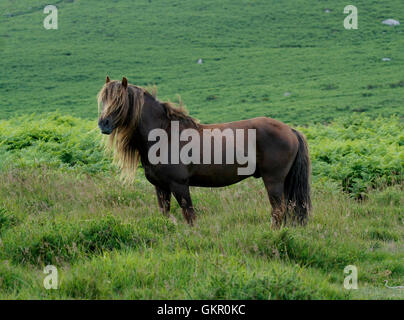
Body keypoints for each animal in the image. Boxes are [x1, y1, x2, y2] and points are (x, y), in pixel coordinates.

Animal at [98, 76, 312, 229]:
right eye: (103, 101)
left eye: (119, 102)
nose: (103, 124)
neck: (164, 135)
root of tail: (290, 130)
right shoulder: (161, 188)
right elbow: (165, 215)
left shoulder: (179, 185)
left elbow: (190, 216)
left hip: (273, 180)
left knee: (278, 211)